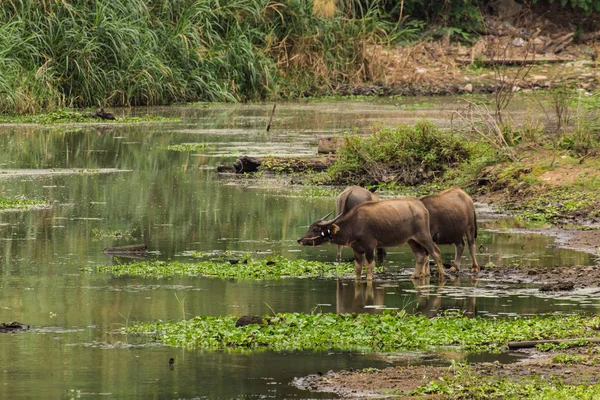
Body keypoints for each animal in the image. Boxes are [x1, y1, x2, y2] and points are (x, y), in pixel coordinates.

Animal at [298, 198, 448, 280]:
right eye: (309, 227)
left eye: (315, 229)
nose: (299, 240)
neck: (354, 224)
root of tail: (422, 207)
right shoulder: (357, 250)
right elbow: (358, 268)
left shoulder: (370, 246)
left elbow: (370, 267)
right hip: (412, 240)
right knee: (420, 256)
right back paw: (413, 276)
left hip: (424, 235)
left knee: (435, 252)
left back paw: (442, 275)